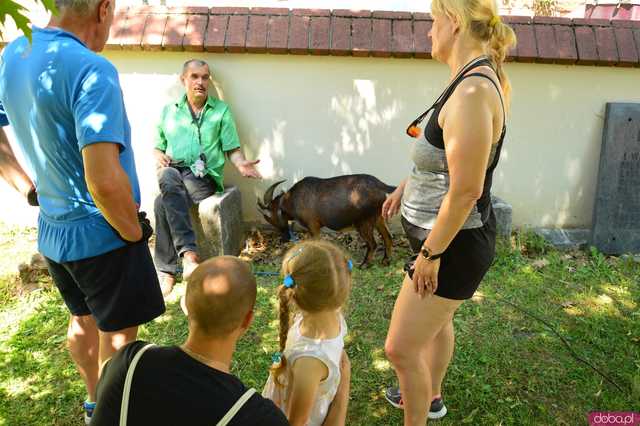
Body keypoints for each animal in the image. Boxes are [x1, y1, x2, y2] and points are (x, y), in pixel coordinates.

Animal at [256, 173, 396, 266]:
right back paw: (386, 260)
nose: (285, 238)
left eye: (270, 218)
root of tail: (381, 185)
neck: (293, 199)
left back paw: (365, 264)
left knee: (373, 244)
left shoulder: (313, 226)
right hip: (379, 218)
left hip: (363, 223)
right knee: (388, 237)